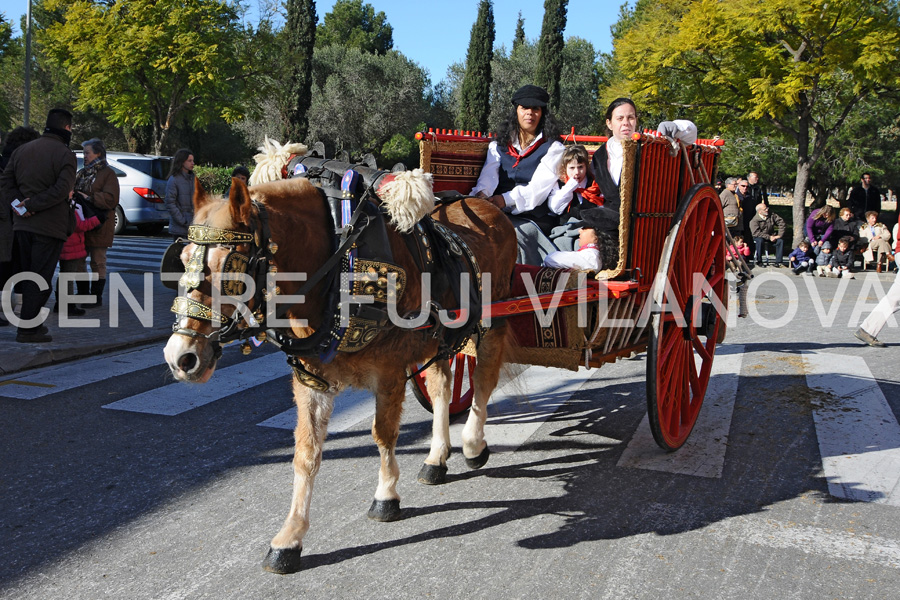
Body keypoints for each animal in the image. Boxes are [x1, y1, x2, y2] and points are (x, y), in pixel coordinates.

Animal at [162, 157, 512, 576]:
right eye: (182, 260)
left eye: (228, 268)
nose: (180, 357)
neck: (336, 269)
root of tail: (486, 205)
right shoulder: (311, 380)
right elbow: (306, 453)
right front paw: (290, 536)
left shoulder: (390, 372)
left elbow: (383, 435)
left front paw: (386, 495)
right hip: (440, 338)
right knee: (443, 387)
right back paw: (435, 457)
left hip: (493, 322)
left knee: (484, 381)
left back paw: (473, 442)